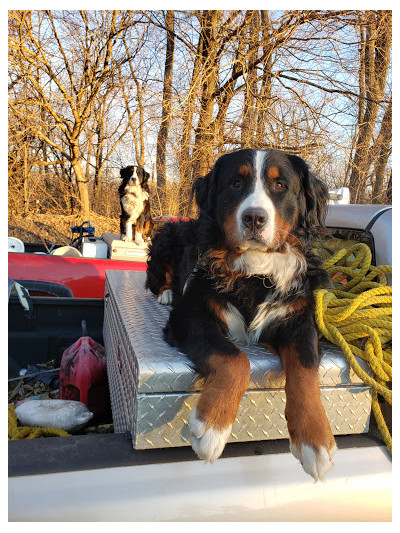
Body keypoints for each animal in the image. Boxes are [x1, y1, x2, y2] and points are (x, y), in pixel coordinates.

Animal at [145, 148, 336, 480]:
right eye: (235, 183)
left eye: (280, 185)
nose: (254, 218)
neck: (255, 272)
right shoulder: (191, 315)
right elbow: (235, 359)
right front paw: (212, 427)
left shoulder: (298, 320)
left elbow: (306, 370)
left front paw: (316, 440)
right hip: (167, 235)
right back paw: (166, 292)